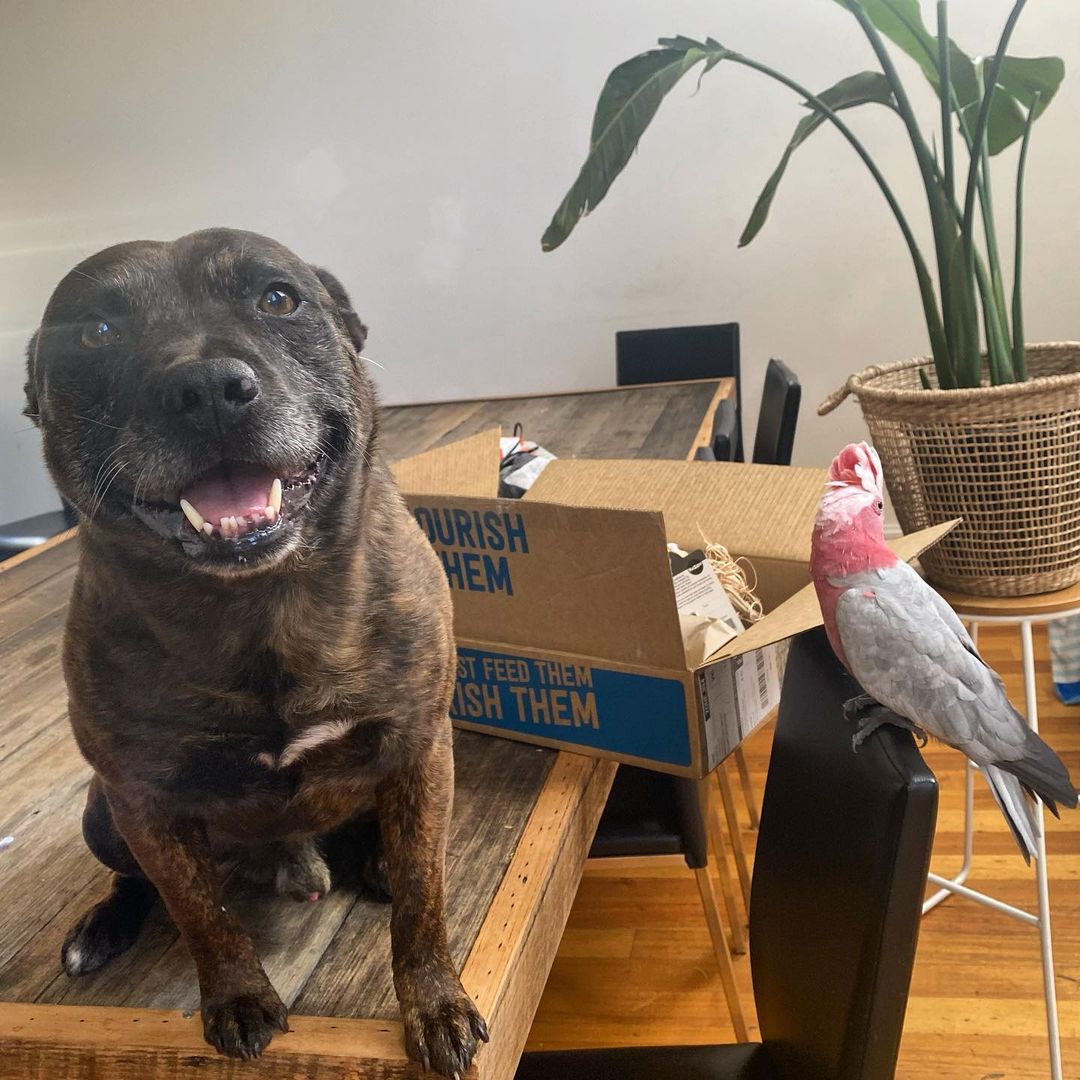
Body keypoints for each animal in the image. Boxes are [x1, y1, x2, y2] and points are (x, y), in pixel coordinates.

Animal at [23, 225, 488, 1071]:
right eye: (97, 331)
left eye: (278, 298)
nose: (207, 387)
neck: (258, 606)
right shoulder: (144, 801)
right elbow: (201, 914)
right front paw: (237, 996)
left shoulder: (418, 747)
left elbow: (423, 903)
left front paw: (434, 1003)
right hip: (100, 813)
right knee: (141, 885)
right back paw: (102, 926)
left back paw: (374, 860)